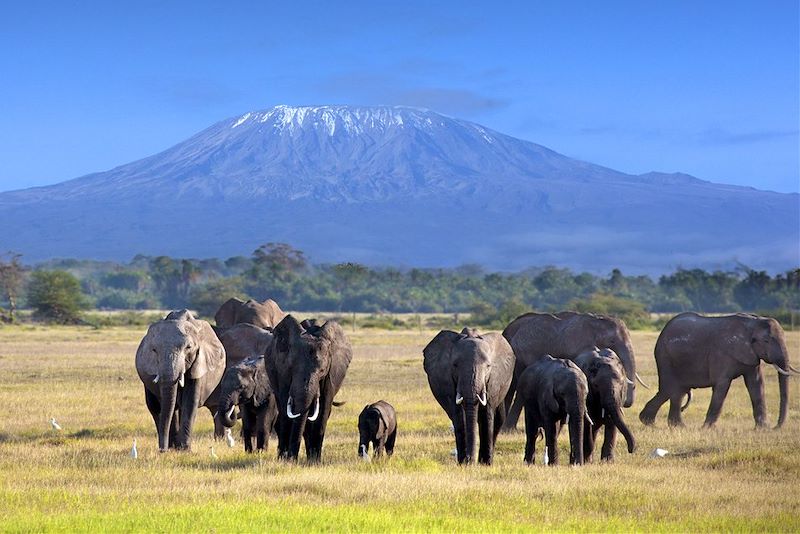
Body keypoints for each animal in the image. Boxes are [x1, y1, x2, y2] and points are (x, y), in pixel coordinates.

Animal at [136, 310, 225, 452]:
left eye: (188, 347)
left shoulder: (199, 362)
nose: (162, 450)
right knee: (155, 406)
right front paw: (173, 449)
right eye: (154, 350)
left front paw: (185, 450)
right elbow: (167, 405)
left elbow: (190, 401)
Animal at [266, 316, 350, 462]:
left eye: (322, 370)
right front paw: (285, 460)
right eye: (292, 368)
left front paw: (315, 462)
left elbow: (323, 410)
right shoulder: (282, 370)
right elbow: (286, 410)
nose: (292, 457)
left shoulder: (331, 373)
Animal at [422, 326, 516, 464]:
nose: (470, 460)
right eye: (455, 365)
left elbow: (487, 413)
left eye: (488, 366)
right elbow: (459, 416)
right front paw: (463, 463)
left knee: (498, 418)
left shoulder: (493, 381)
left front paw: (485, 463)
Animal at [636, 314, 792, 432]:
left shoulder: (751, 356)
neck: (753, 323)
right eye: (766, 341)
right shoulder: (722, 354)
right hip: (665, 357)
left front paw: (762, 429)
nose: (776, 427)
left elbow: (756, 385)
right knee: (670, 389)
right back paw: (655, 423)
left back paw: (668, 425)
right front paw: (707, 429)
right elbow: (722, 386)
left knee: (675, 391)